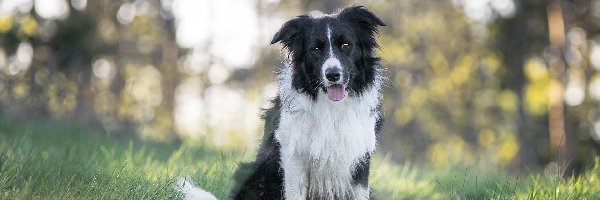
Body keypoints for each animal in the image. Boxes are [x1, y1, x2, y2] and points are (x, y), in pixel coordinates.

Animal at [230, 5, 384, 199]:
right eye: (315, 49)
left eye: (346, 45)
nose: (333, 75)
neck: (331, 108)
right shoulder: (293, 154)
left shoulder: (360, 156)